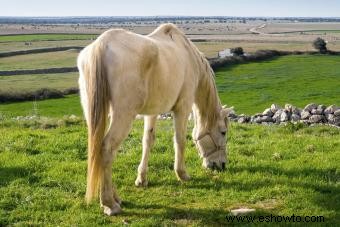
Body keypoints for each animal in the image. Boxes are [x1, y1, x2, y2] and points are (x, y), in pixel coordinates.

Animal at [77, 23, 228, 216]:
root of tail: (102, 45)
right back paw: (109, 203)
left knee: (98, 150)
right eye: (223, 132)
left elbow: (147, 141)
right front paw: (182, 174)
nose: (221, 165)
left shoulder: (152, 112)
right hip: (123, 115)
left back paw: (115, 197)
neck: (188, 55)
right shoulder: (183, 107)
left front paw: (142, 178)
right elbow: (180, 140)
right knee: (107, 149)